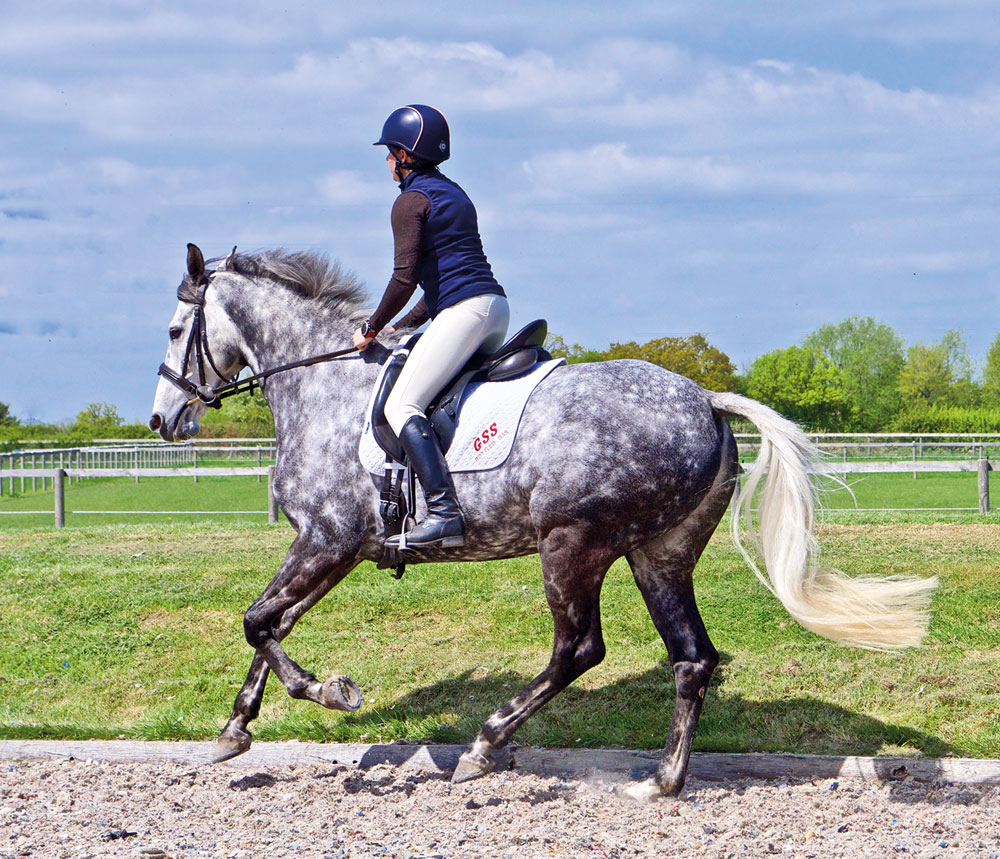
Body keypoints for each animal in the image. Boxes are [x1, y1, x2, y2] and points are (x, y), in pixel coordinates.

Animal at [148, 242, 936, 800]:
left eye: (178, 328)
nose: (163, 420)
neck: (324, 383)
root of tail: (707, 400)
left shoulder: (327, 540)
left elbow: (258, 621)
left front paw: (329, 691)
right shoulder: (336, 547)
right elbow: (273, 623)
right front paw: (234, 729)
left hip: (572, 544)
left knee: (578, 648)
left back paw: (484, 746)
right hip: (660, 554)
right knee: (692, 656)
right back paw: (661, 782)